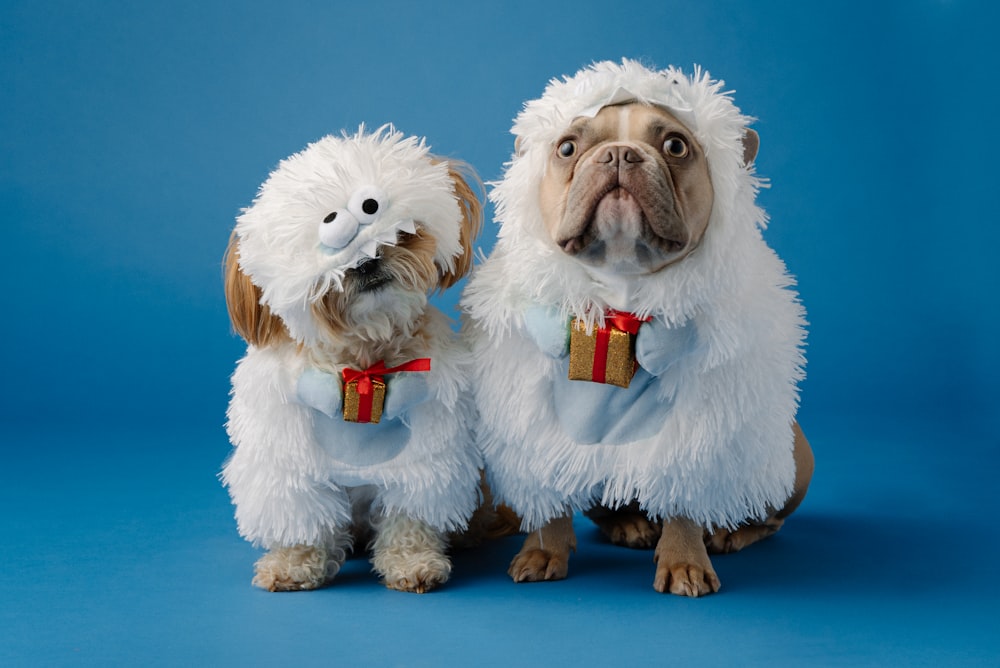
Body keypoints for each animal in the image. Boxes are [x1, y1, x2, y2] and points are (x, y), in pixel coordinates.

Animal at [222, 126, 484, 596]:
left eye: (392, 230)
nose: (365, 261)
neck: (363, 365)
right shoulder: (292, 463)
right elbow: (301, 520)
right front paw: (293, 564)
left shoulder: (424, 456)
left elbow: (410, 515)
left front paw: (412, 561)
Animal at [464, 61, 816, 596]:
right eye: (567, 148)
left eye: (675, 146)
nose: (619, 153)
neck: (619, 304)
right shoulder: (534, 422)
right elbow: (547, 494)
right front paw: (543, 550)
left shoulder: (694, 430)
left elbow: (684, 499)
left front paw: (685, 562)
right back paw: (629, 524)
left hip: (790, 459)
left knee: (764, 511)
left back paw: (729, 531)